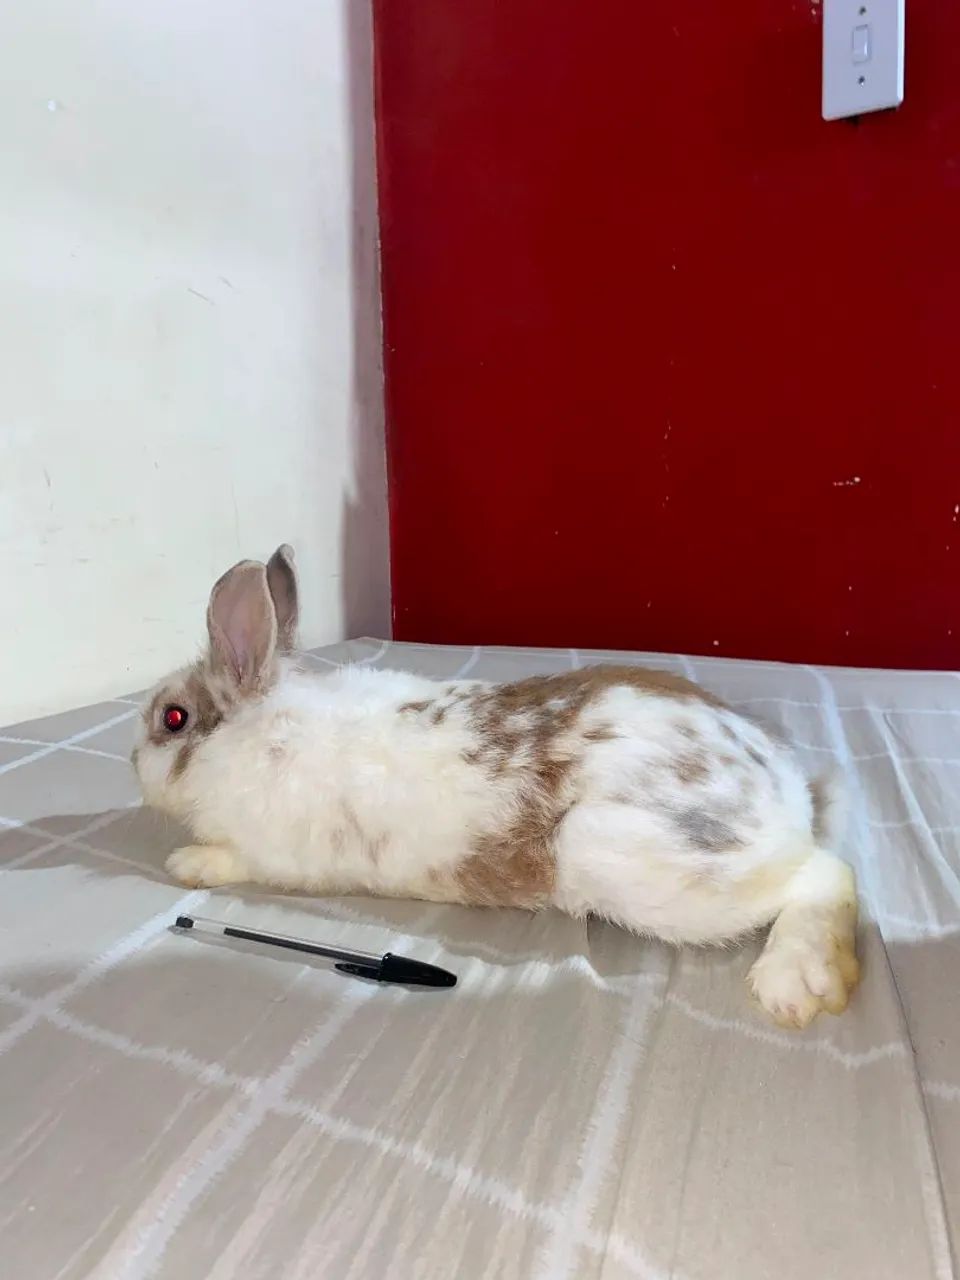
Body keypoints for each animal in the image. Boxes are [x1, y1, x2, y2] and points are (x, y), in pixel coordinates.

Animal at [132, 545, 859, 1028]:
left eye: (173, 719)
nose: (133, 760)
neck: (252, 733)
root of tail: (785, 791)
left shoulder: (269, 853)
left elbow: (229, 862)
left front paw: (184, 863)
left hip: (645, 865)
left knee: (827, 875)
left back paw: (795, 985)